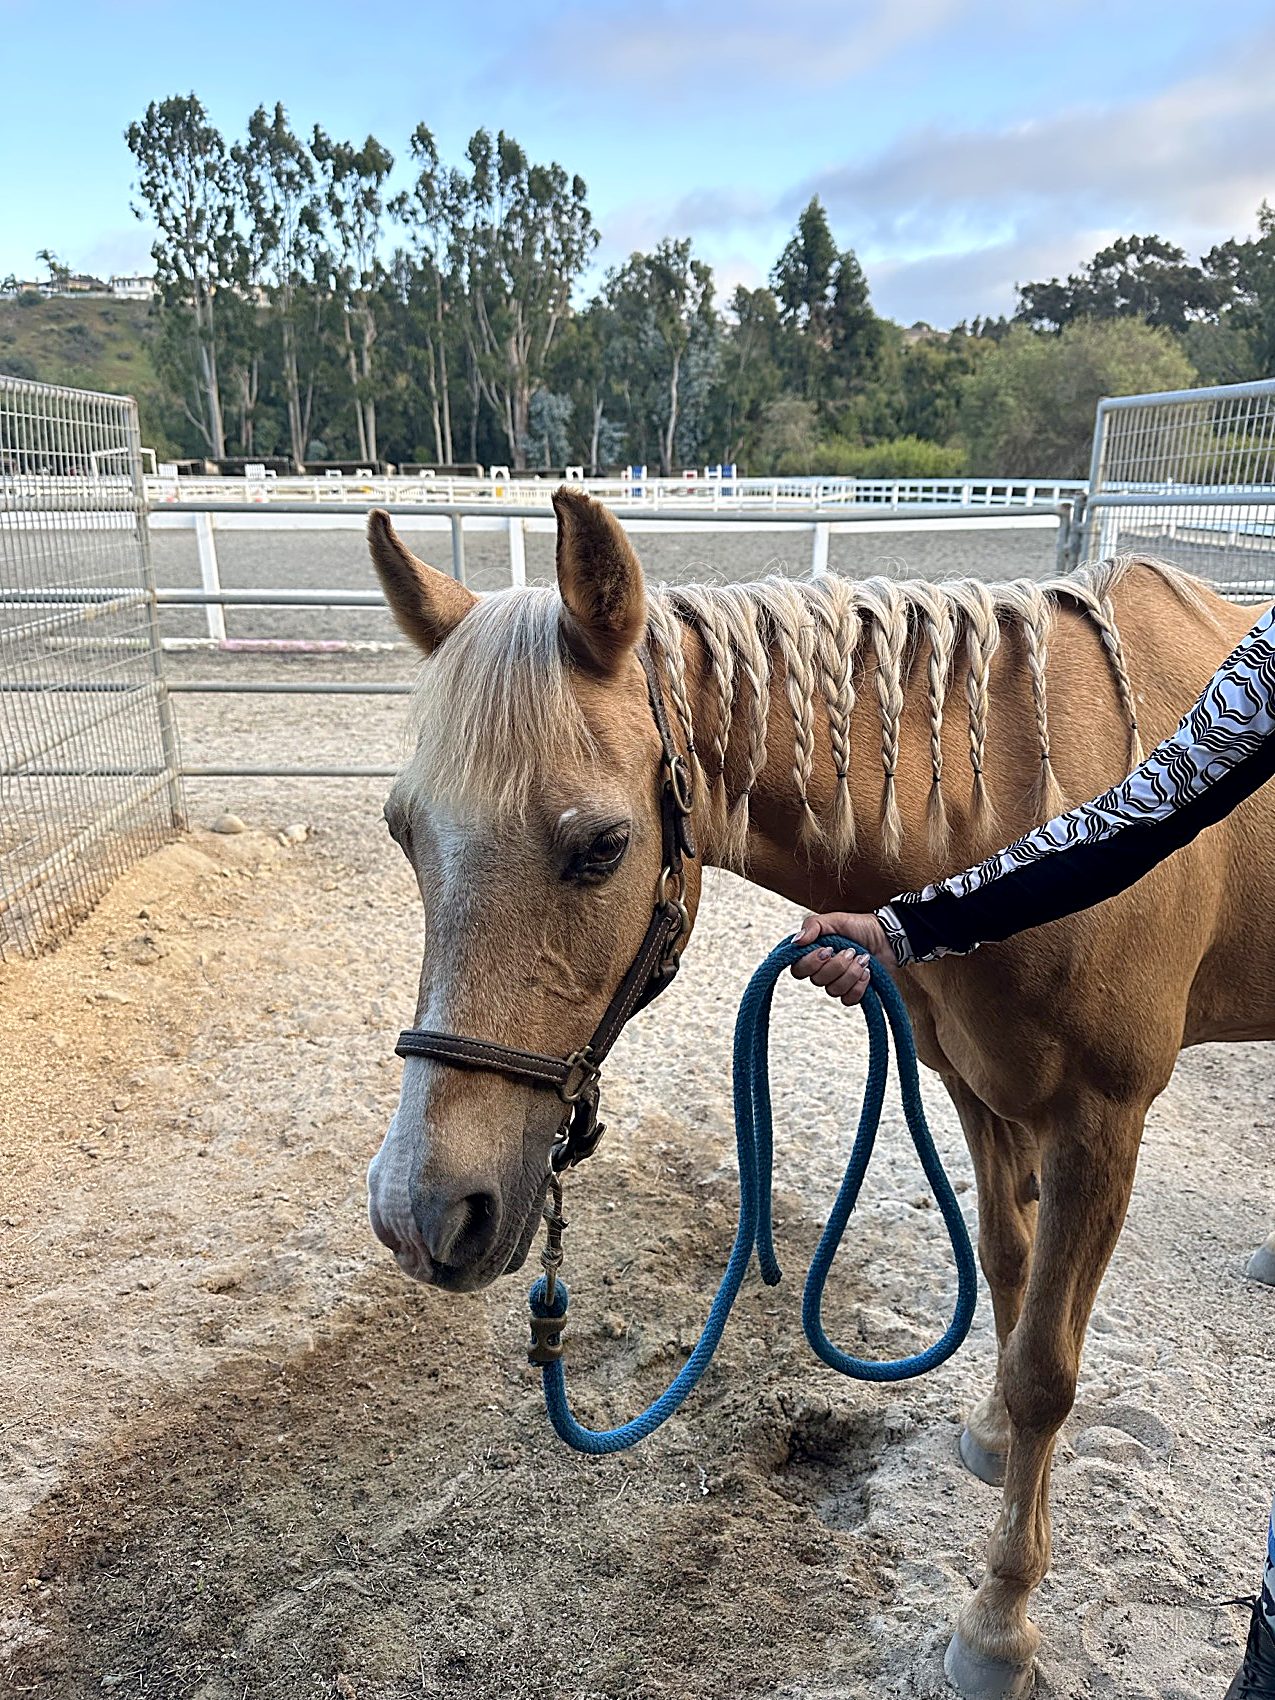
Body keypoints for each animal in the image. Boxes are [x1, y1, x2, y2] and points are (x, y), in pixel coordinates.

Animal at [364, 487, 1275, 1699]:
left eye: (602, 846)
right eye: (401, 830)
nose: (418, 1211)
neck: (1028, 803)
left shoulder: (1101, 1123)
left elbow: (1048, 1364)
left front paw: (997, 1623)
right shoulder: (976, 1090)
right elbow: (1006, 1270)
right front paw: (992, 1441)